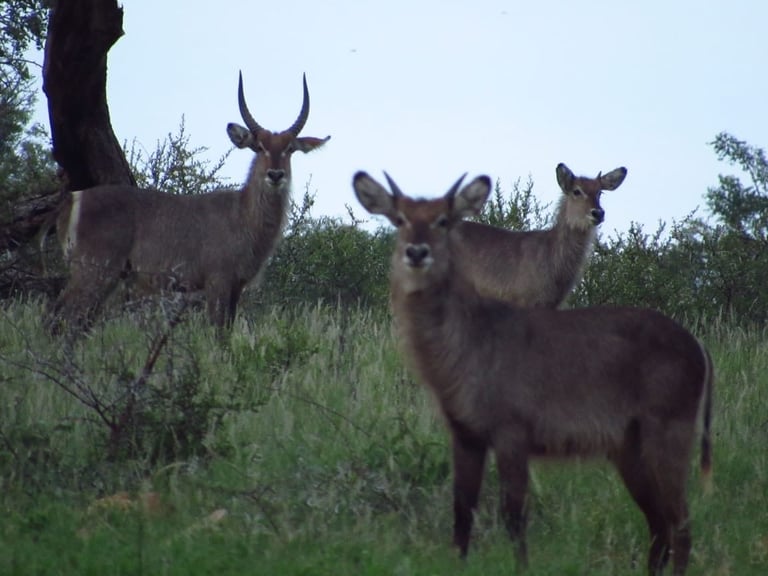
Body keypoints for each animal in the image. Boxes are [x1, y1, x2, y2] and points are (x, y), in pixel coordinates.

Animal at [49, 72, 329, 333]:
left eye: (290, 148)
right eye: (259, 146)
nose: (275, 175)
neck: (243, 215)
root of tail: (73, 198)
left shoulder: (236, 287)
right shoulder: (217, 281)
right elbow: (217, 334)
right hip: (94, 270)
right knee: (60, 316)